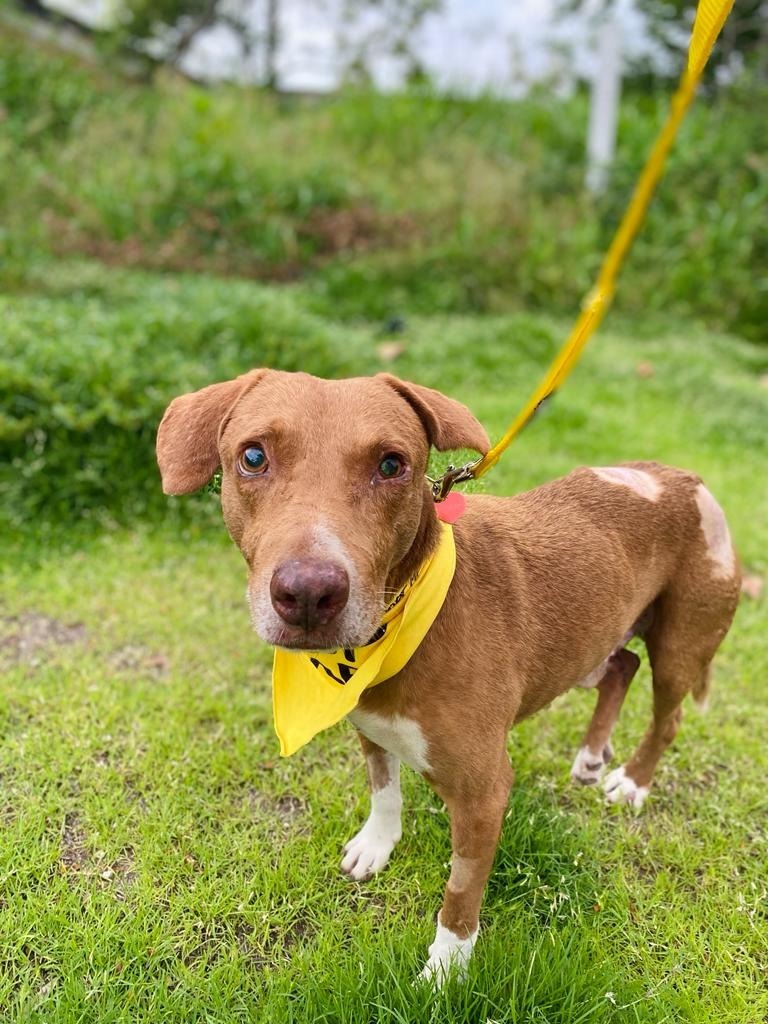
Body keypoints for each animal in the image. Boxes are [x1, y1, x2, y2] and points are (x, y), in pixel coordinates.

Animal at [154, 370, 741, 983]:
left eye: (392, 465)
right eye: (252, 457)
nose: (309, 594)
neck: (391, 637)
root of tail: (689, 480)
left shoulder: (484, 792)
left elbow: (460, 891)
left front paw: (447, 968)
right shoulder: (370, 723)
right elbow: (385, 790)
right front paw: (377, 843)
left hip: (681, 646)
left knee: (666, 716)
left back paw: (632, 781)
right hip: (593, 635)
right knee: (621, 665)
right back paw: (590, 754)